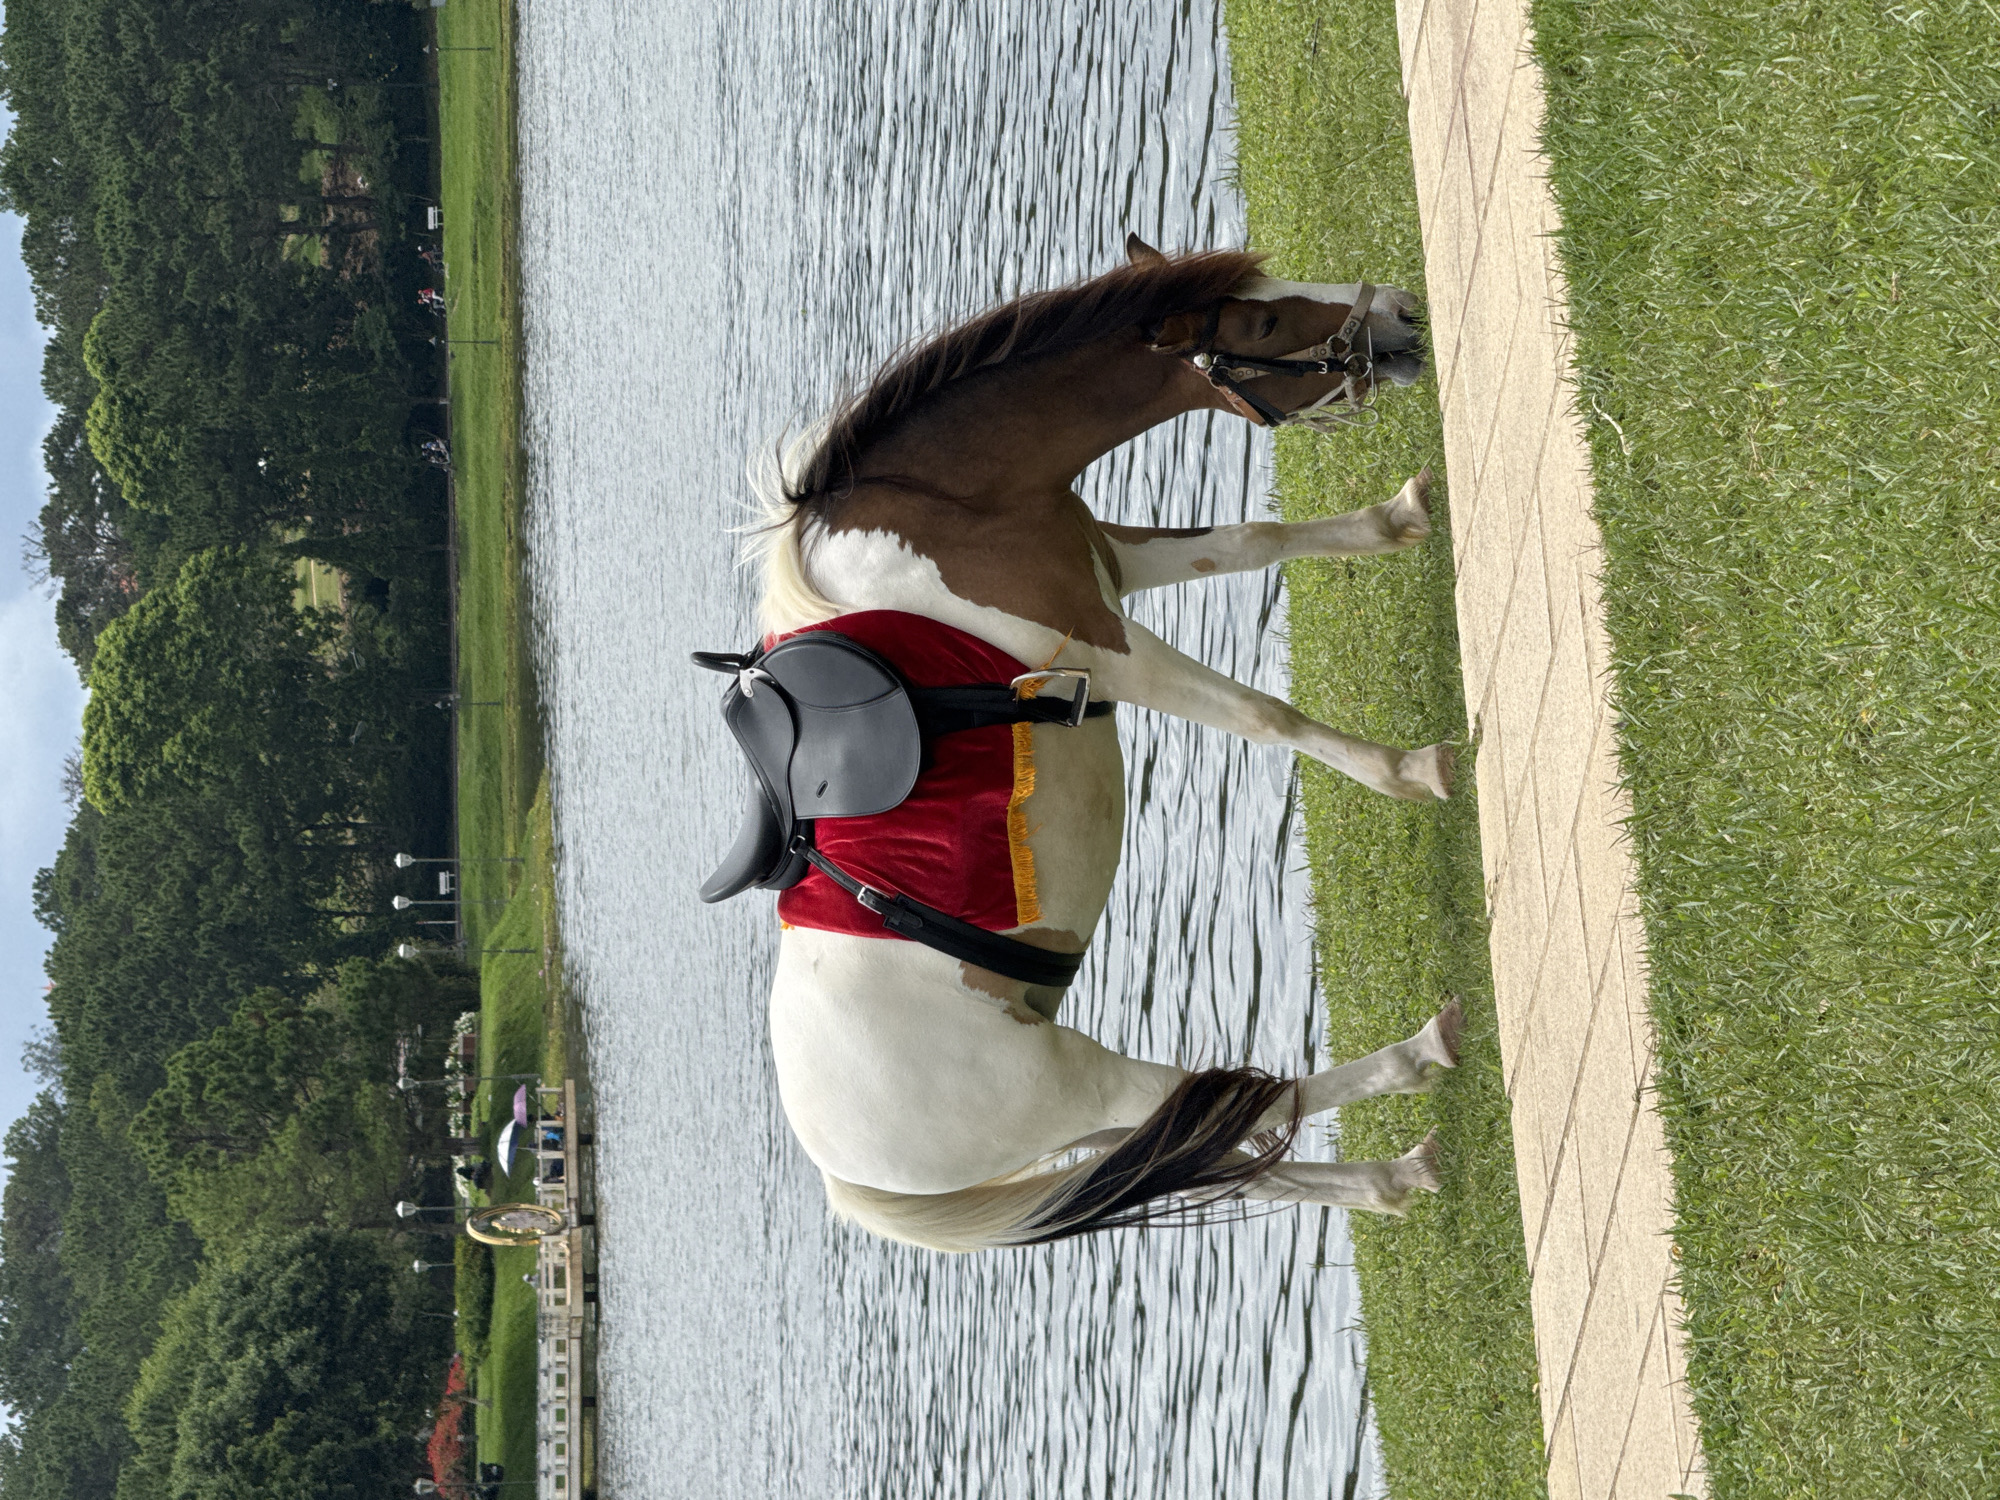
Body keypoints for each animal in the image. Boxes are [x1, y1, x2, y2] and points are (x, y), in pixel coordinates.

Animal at [734, 238, 1460, 1252]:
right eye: (1264, 321)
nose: (1397, 313)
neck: (945, 509)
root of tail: (845, 1175)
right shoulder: (1110, 650)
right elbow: (1262, 716)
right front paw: (1410, 771)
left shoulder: (1115, 561)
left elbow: (1252, 536)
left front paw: (1395, 519)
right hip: (1083, 1087)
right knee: (1249, 1100)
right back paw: (1418, 1058)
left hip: (1096, 1120)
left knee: (1214, 1134)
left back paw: (1392, 1178)